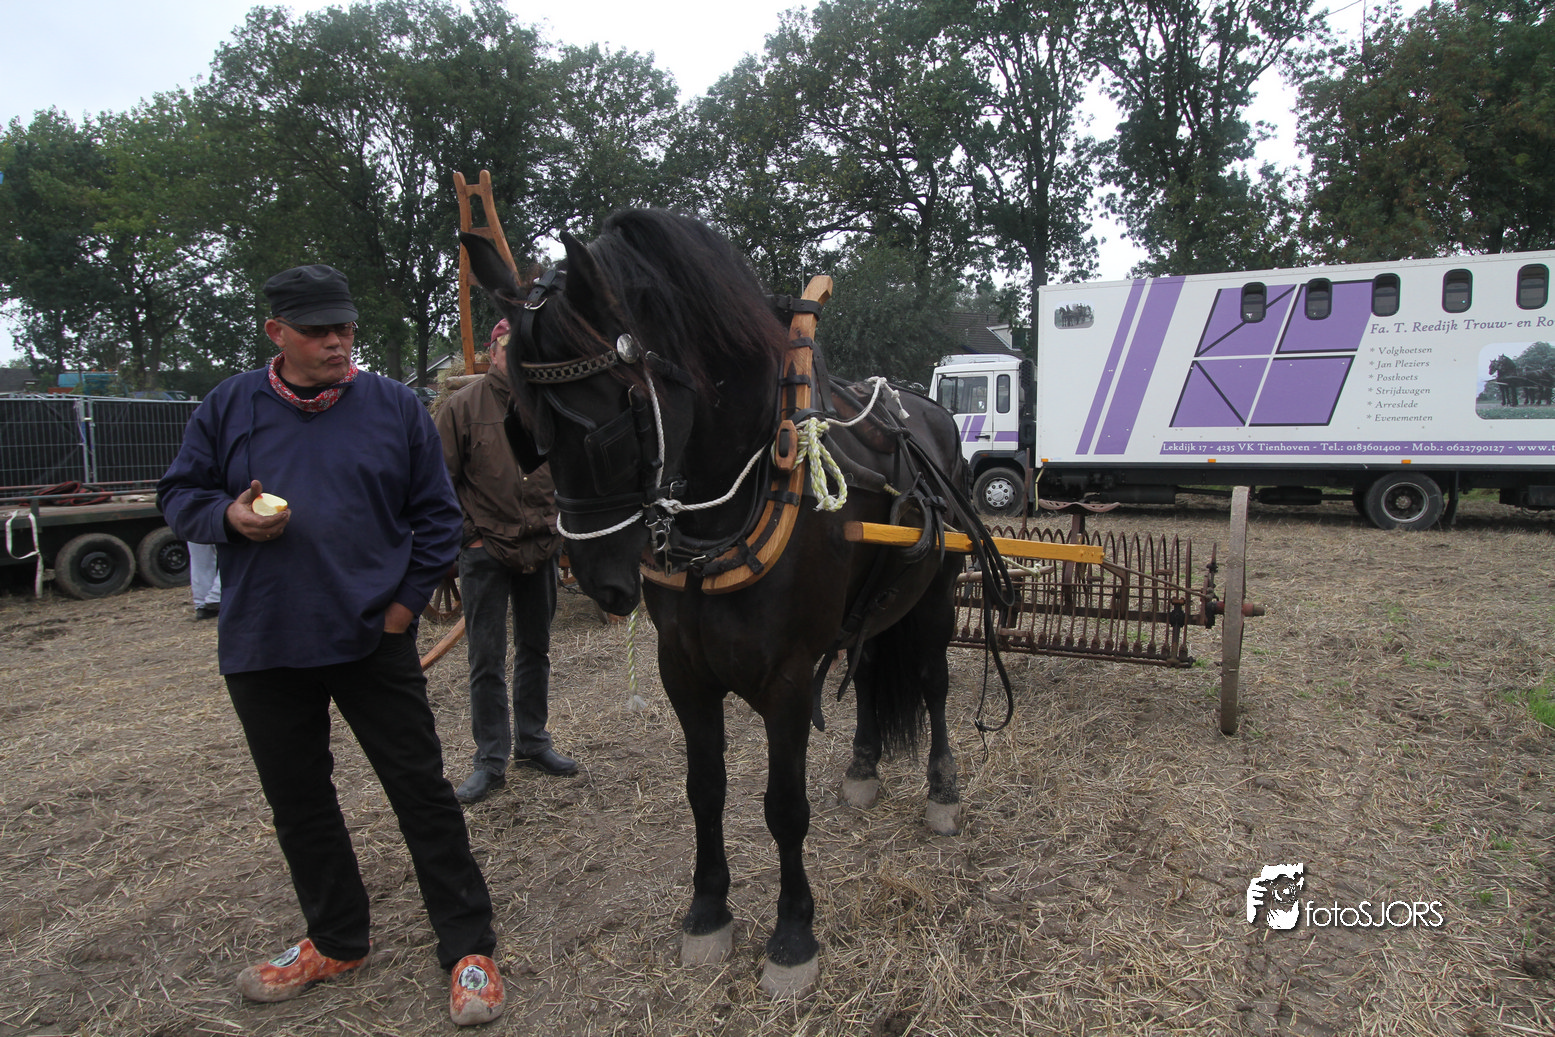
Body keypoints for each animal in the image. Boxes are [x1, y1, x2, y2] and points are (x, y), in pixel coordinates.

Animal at [461, 209, 1010, 998]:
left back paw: (941, 789)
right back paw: (864, 765)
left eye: (604, 425)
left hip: (934, 600)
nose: (600, 579)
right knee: (869, 665)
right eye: (524, 428)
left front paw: (793, 934)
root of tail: (931, 414)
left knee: (933, 683)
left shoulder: (787, 679)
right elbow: (705, 789)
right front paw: (708, 910)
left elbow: (783, 806)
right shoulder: (683, 673)